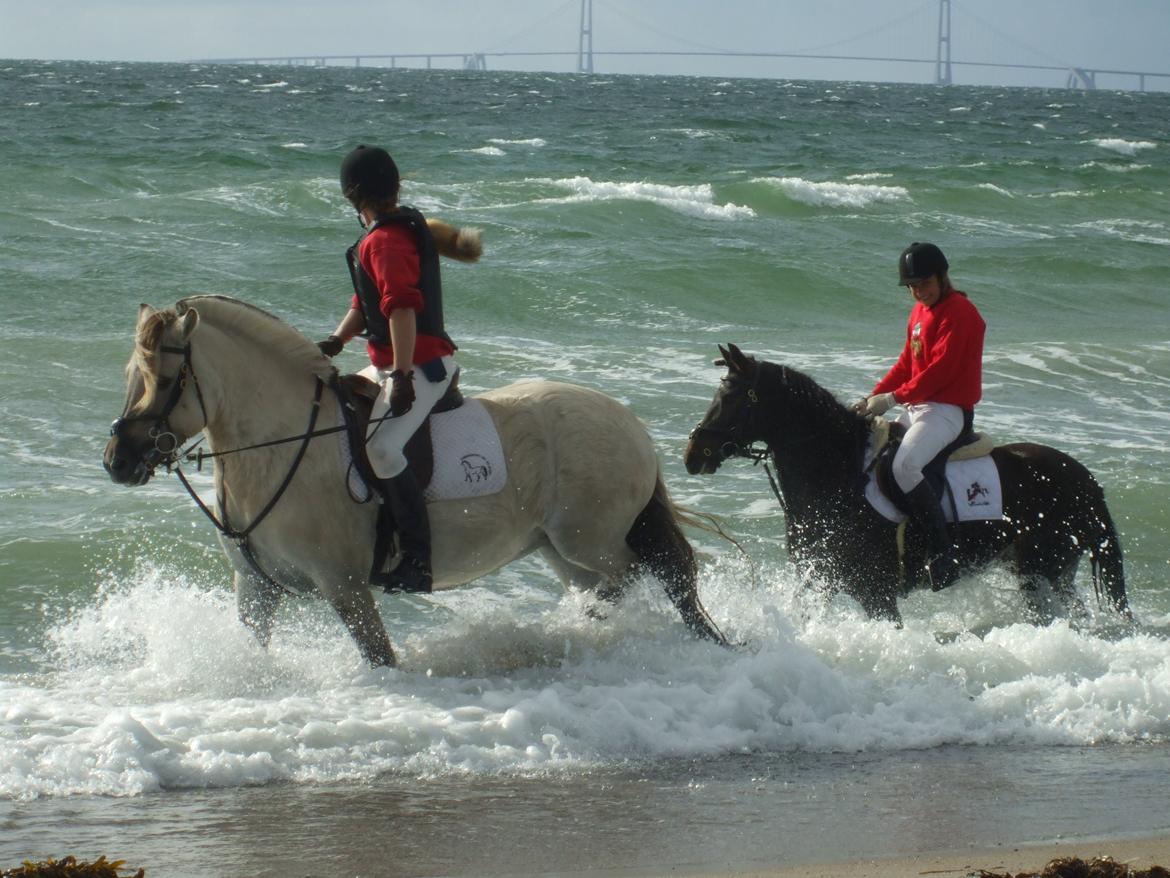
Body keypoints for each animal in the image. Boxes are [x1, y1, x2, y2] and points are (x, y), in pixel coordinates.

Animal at [105, 296, 725, 664]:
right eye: (131, 374)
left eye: (166, 380)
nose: (117, 460)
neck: (280, 447)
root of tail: (629, 422)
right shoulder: (255, 590)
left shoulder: (345, 586)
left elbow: (379, 655)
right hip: (558, 548)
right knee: (616, 582)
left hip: (589, 537)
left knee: (641, 573)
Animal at [683, 344, 1127, 627]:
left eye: (731, 397)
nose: (692, 454)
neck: (837, 475)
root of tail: (1086, 480)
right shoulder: (817, 582)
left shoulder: (876, 594)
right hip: (1051, 572)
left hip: (1039, 572)